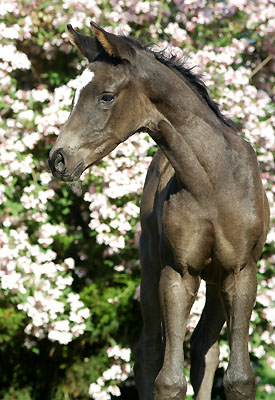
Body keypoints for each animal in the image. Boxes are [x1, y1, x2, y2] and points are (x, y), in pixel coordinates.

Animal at [48, 23, 270, 398]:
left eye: (106, 96)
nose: (58, 158)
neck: (215, 183)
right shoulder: (177, 273)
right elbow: (168, 380)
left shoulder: (241, 272)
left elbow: (239, 377)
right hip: (151, 267)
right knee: (150, 350)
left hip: (216, 279)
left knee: (204, 346)